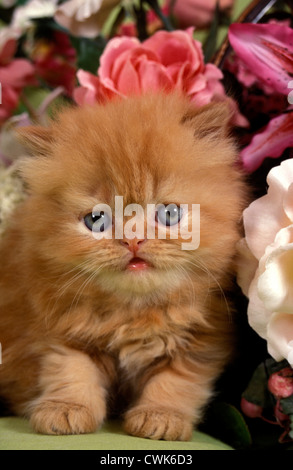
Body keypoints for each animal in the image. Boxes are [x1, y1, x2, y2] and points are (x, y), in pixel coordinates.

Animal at [0, 92, 244, 440]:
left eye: (169, 214)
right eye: (96, 219)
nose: (133, 240)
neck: (133, 312)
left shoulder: (202, 339)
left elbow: (177, 382)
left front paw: (161, 416)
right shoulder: (57, 329)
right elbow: (70, 369)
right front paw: (67, 408)